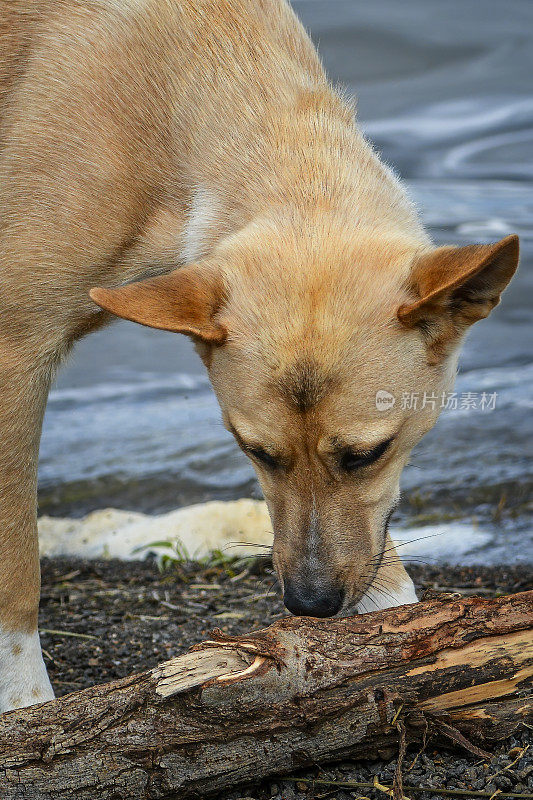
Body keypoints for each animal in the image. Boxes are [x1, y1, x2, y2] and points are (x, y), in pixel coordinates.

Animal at [0, 0, 516, 712]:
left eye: (369, 454)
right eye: (256, 452)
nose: (311, 604)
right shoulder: (15, 349)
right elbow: (17, 564)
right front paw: (26, 703)